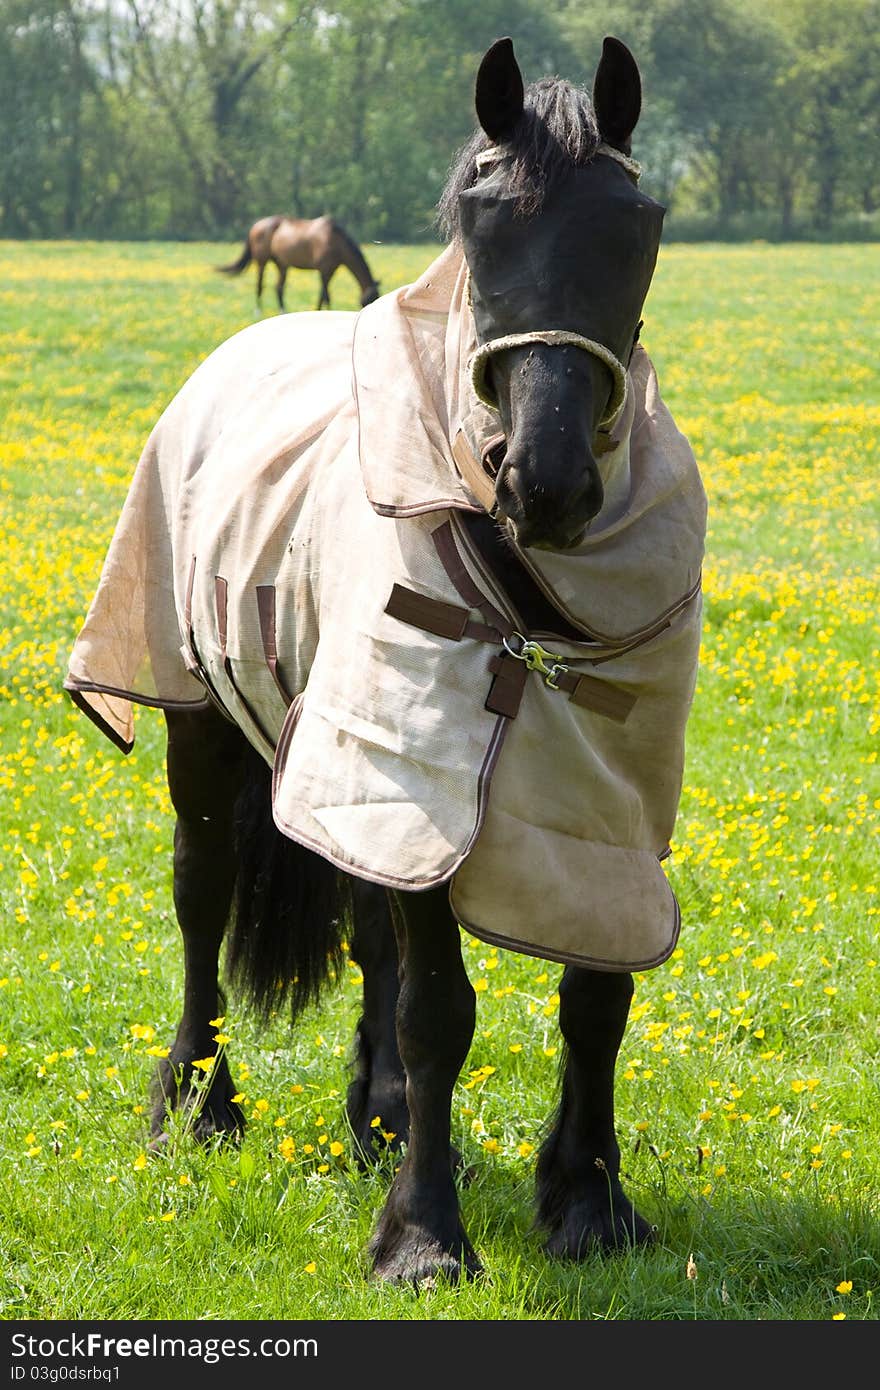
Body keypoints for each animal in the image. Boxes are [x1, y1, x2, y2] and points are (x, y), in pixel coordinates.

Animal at [218, 212, 378, 314]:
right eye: (371, 300)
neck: (335, 240)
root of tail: (257, 225)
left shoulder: (331, 270)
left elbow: (322, 295)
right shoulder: (324, 270)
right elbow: (326, 295)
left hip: (282, 264)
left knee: (279, 288)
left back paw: (283, 312)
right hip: (262, 262)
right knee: (259, 286)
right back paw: (258, 312)